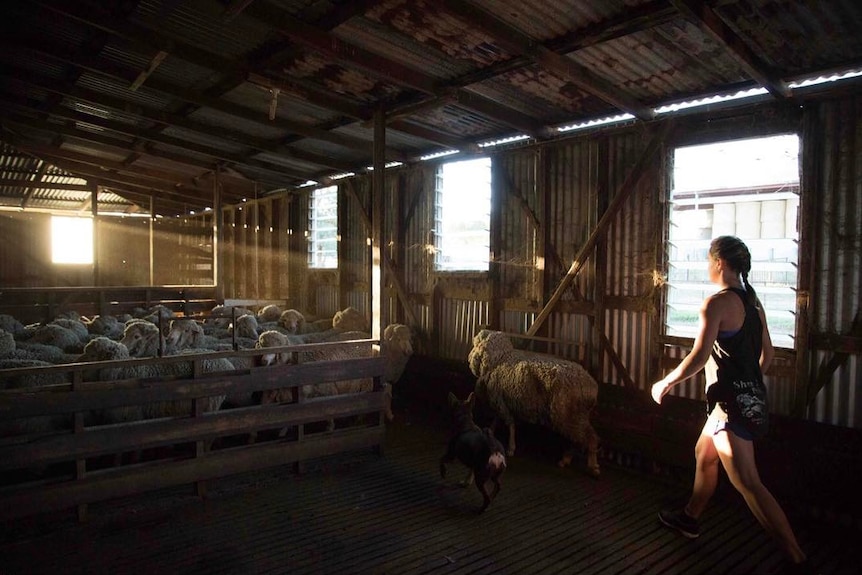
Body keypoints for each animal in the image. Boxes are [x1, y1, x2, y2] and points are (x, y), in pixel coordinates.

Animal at [466, 330, 600, 480]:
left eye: (476, 344)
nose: (469, 359)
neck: (500, 358)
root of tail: (590, 387)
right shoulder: (502, 402)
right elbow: (499, 421)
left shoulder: (501, 402)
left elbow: (510, 424)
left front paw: (511, 448)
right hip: (576, 416)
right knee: (577, 439)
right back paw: (566, 460)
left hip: (567, 414)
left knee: (588, 438)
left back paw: (592, 467)